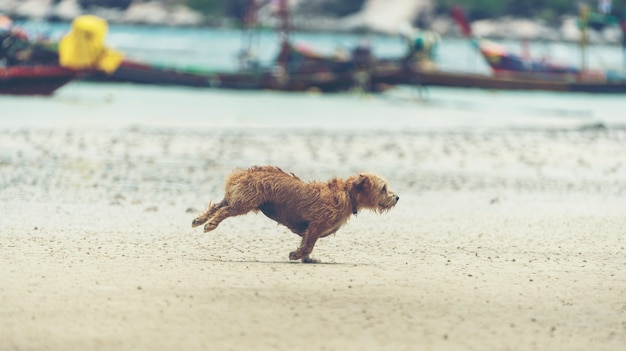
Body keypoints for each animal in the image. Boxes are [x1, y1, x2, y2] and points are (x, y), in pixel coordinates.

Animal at [189, 166, 400, 262]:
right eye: (383, 188)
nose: (397, 197)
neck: (348, 195)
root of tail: (244, 172)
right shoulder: (316, 225)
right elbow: (308, 245)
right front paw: (297, 255)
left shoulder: (310, 229)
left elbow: (307, 244)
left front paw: (307, 259)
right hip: (245, 203)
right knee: (224, 210)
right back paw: (210, 224)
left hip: (236, 197)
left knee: (217, 205)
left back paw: (199, 219)